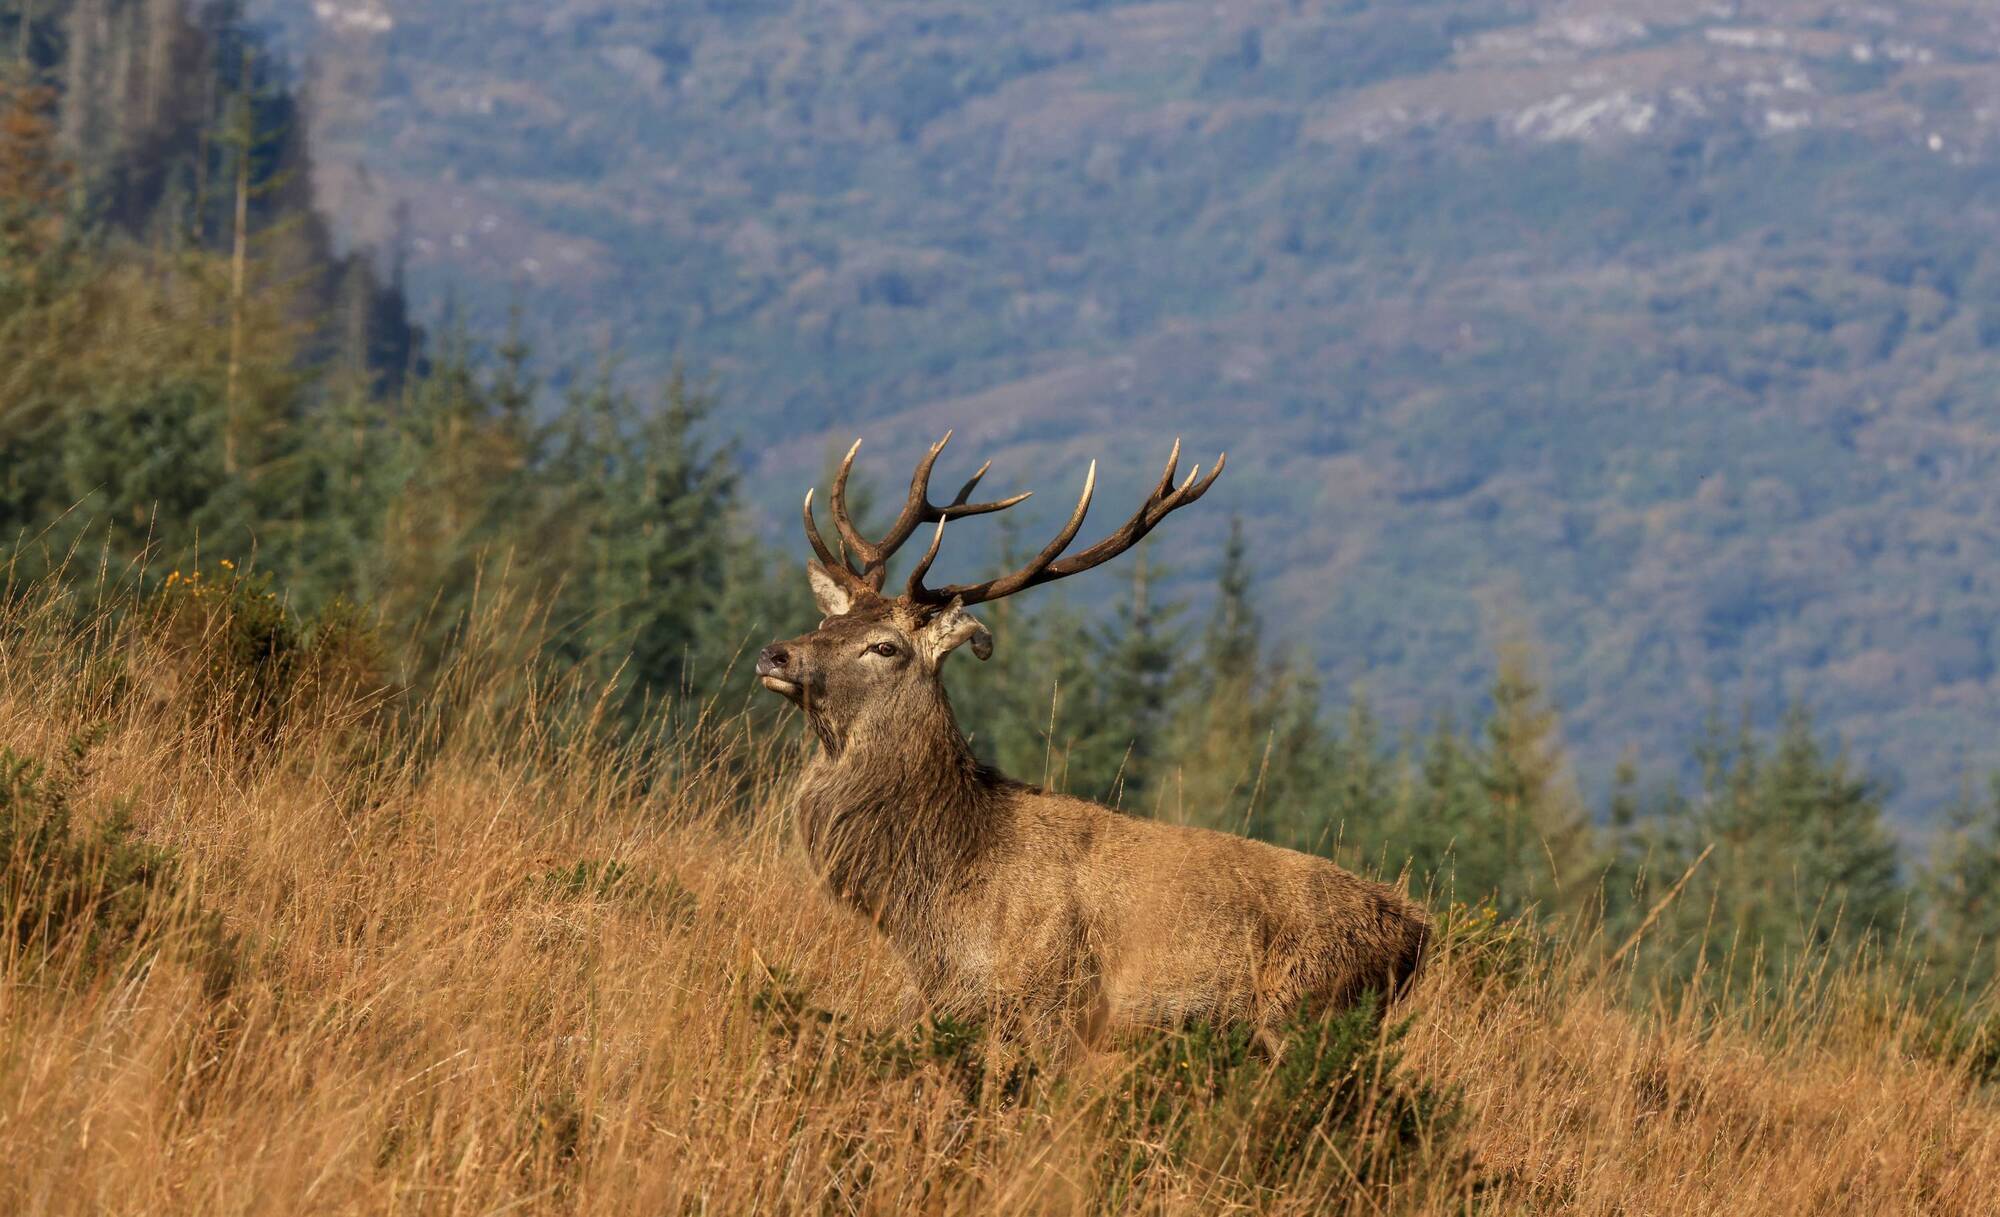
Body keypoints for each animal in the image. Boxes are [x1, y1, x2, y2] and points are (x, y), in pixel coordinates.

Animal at [756, 433, 1429, 1059]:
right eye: (826, 623)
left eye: (885, 646)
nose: (775, 653)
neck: (935, 903)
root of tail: (1415, 933)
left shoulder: (1051, 1000)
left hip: (1305, 1010)